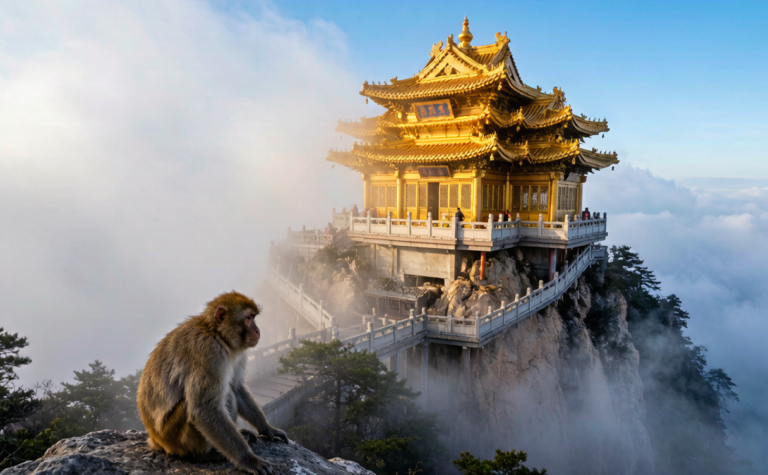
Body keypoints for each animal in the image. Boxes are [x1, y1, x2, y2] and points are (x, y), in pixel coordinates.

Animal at [137, 291, 288, 475]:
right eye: (248, 318)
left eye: (253, 317)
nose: (258, 330)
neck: (216, 333)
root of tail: (155, 439)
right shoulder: (208, 353)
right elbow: (204, 408)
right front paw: (248, 460)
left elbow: (237, 387)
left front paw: (268, 428)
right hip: (174, 436)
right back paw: (206, 454)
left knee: (229, 392)